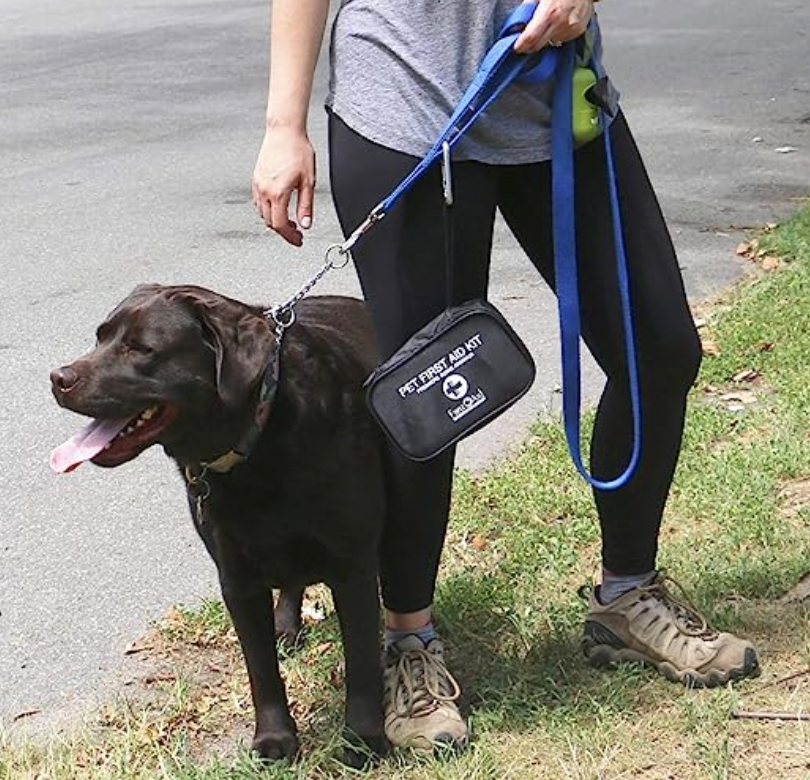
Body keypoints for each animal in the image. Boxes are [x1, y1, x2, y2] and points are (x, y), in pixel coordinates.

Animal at [49, 284, 388, 760]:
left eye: (141, 348)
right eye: (99, 338)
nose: (58, 378)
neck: (256, 444)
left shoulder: (351, 564)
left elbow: (361, 659)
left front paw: (363, 738)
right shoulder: (236, 575)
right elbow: (260, 668)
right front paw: (274, 738)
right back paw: (285, 624)